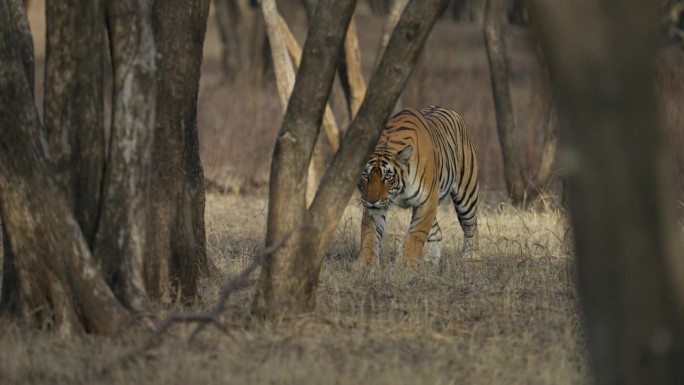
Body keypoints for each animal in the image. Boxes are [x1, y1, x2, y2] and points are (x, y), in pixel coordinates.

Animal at [358, 105, 480, 268]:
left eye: (388, 177)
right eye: (366, 175)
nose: (371, 201)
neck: (399, 190)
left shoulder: (427, 200)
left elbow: (416, 234)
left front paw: (404, 265)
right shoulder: (376, 206)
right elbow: (369, 234)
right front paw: (365, 265)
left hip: (466, 195)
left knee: (472, 226)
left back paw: (472, 259)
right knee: (437, 232)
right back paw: (430, 262)